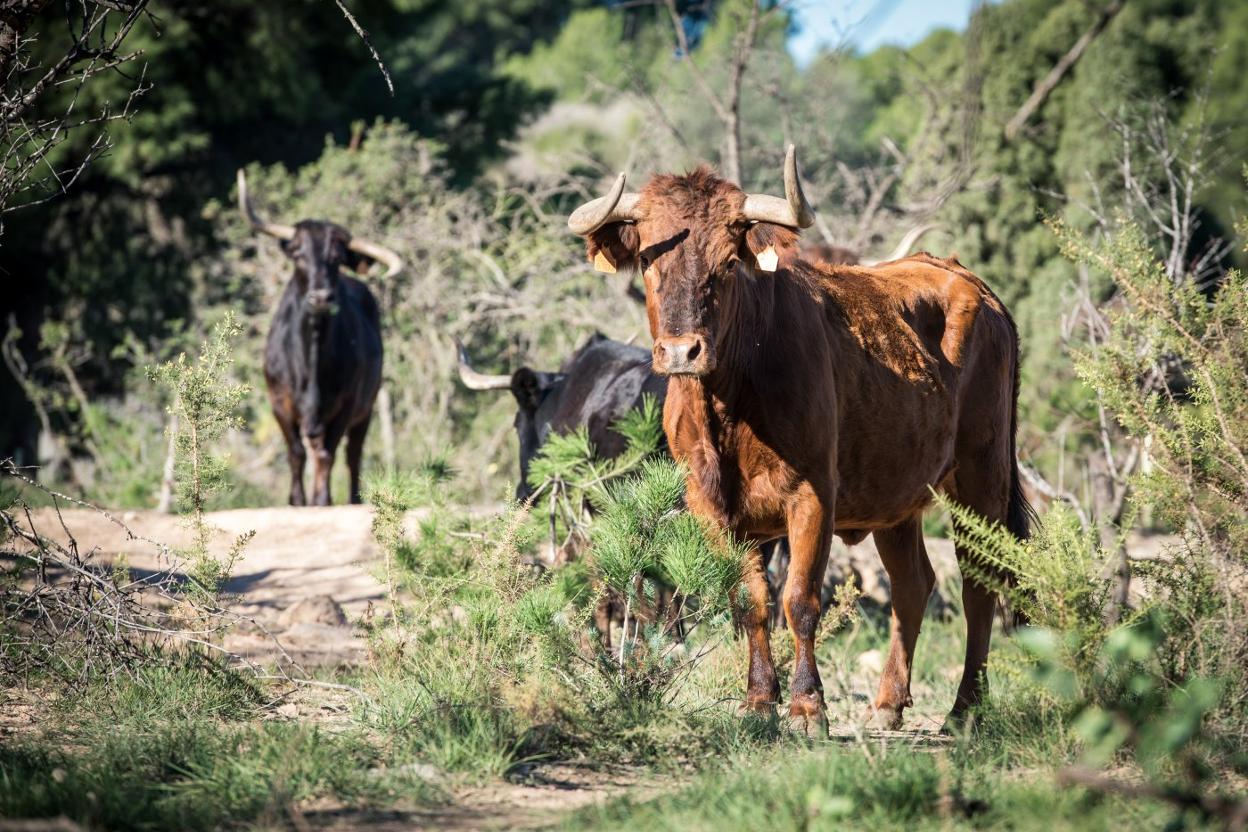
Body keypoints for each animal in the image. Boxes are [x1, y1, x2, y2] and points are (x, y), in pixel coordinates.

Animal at [237, 170, 402, 506]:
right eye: (299, 254)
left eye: (336, 257)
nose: (321, 297)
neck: (310, 357)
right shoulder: (279, 402)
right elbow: (296, 453)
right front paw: (298, 501)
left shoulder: (346, 404)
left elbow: (329, 454)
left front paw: (322, 500)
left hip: (367, 407)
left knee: (352, 455)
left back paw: (352, 499)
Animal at [567, 145, 1030, 737]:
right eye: (649, 261)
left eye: (727, 262)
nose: (681, 351)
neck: (729, 405)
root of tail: (972, 283)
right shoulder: (715, 509)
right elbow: (750, 601)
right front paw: (758, 702)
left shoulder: (813, 496)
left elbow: (800, 600)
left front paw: (809, 706)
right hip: (896, 496)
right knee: (913, 584)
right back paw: (888, 703)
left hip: (982, 476)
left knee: (979, 584)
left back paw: (965, 708)